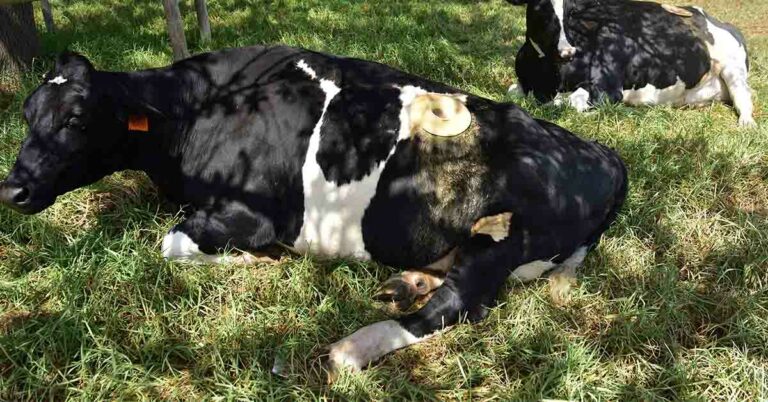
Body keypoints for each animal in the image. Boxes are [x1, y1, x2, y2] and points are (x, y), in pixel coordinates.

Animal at [0, 46, 627, 375]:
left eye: (76, 118)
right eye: (28, 114)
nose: (12, 191)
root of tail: (604, 154)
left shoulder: (258, 216)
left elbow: (171, 242)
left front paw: (258, 261)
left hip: (500, 238)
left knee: (453, 307)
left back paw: (351, 349)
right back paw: (406, 282)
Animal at [506, 0, 756, 127]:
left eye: (572, 12)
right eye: (540, 9)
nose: (567, 52)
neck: (547, 79)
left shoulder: (607, 90)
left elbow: (568, 104)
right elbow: (513, 91)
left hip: (734, 69)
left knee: (744, 98)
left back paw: (747, 123)